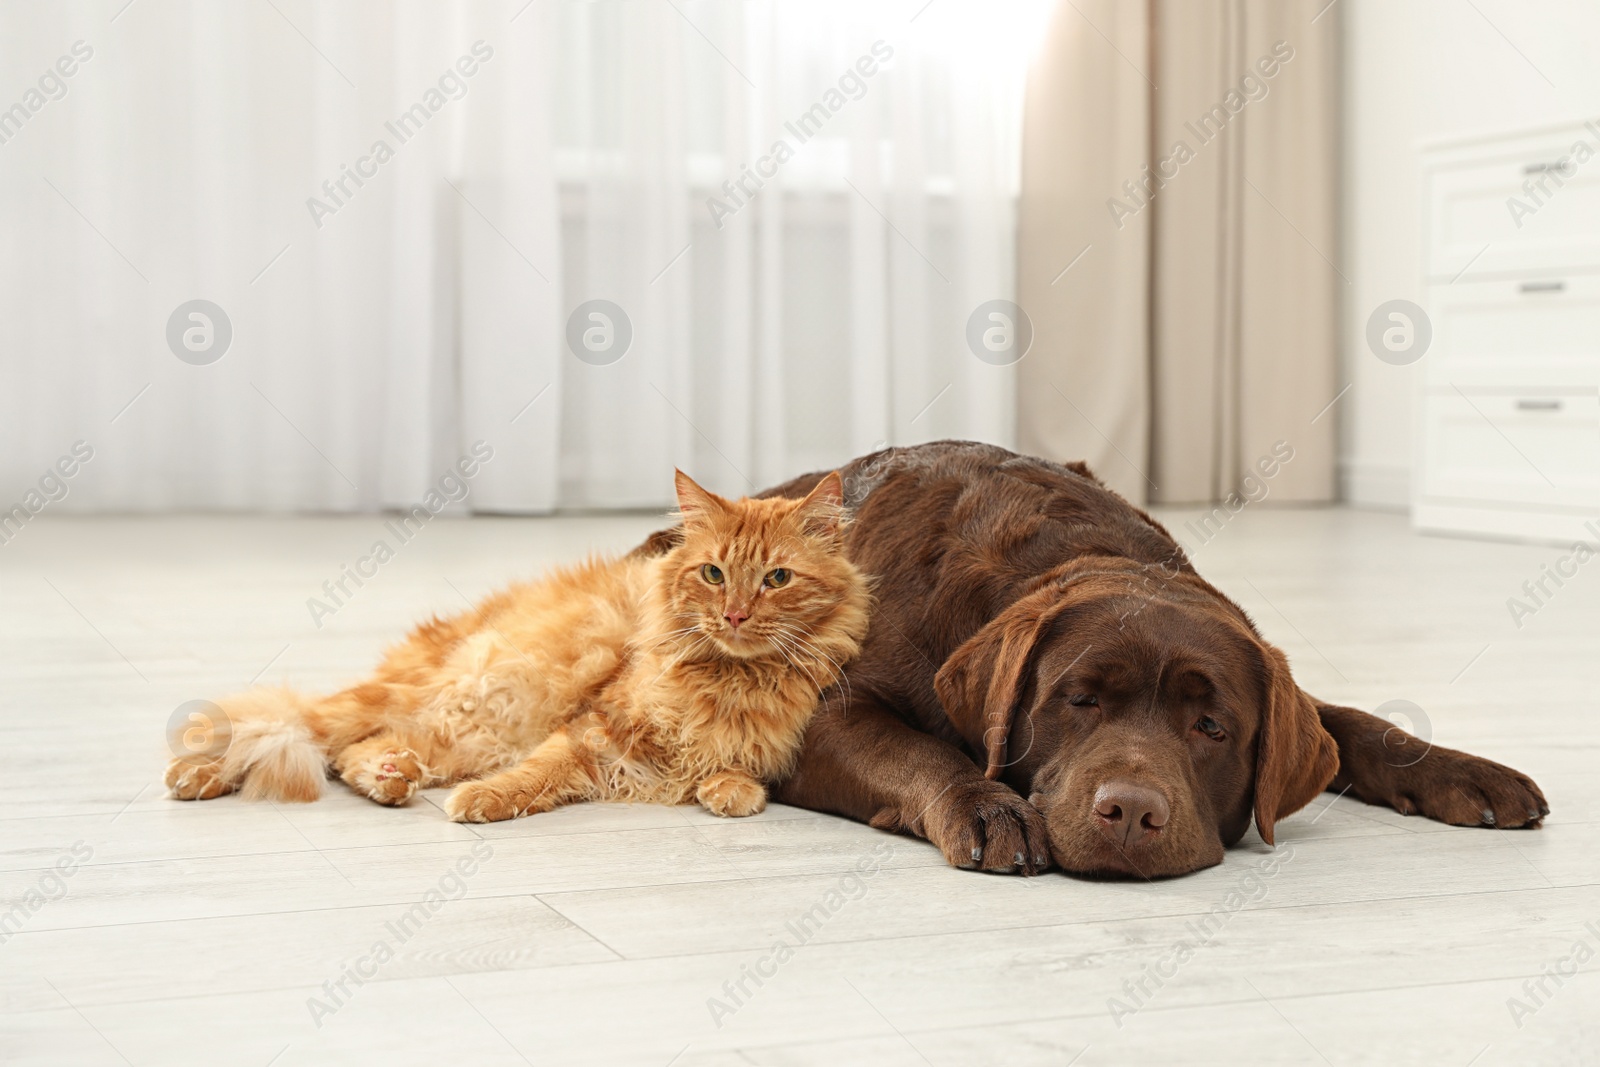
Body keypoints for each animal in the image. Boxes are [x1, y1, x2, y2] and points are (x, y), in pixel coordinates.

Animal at [164, 470, 870, 825]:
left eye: (776, 579)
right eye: (714, 573)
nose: (734, 614)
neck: (725, 679)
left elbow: (735, 774)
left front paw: (726, 790)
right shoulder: (592, 729)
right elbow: (534, 775)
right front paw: (481, 803)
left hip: (469, 731)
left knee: (352, 753)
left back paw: (392, 779)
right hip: (454, 697)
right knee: (295, 725)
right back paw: (194, 776)